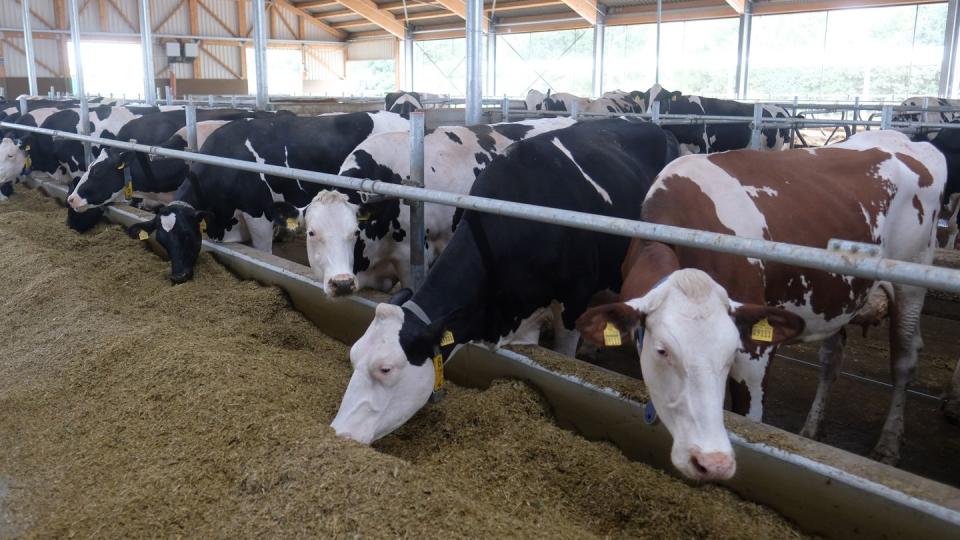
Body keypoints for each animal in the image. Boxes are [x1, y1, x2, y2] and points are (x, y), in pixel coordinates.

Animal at [576, 131, 944, 476]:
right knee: (831, 359)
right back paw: (812, 427)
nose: (709, 459)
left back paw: (888, 444)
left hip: (911, 282)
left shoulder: (756, 350)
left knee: (904, 359)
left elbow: (749, 418)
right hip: (837, 297)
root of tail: (908, 142)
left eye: (730, 350)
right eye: (662, 351)